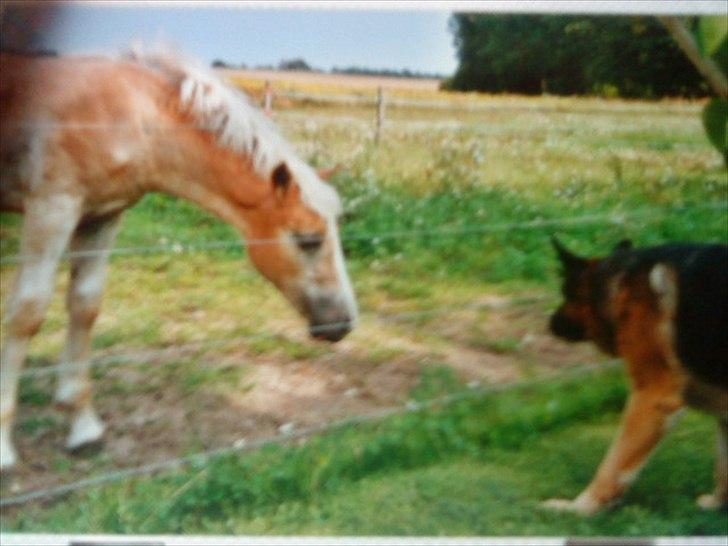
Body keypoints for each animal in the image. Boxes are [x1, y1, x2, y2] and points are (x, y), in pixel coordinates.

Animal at [0, 49, 358, 470]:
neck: (130, 113)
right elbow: (27, 314)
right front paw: (3, 447)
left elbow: (84, 306)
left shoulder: (101, 216)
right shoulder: (52, 208)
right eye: (308, 240)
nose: (341, 324)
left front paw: (83, 426)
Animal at [544, 238, 724, 516]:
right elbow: (723, 469)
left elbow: (612, 466)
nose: (549, 323)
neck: (620, 283)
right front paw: (718, 504)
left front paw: (580, 507)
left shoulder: (652, 398)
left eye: (565, 294)